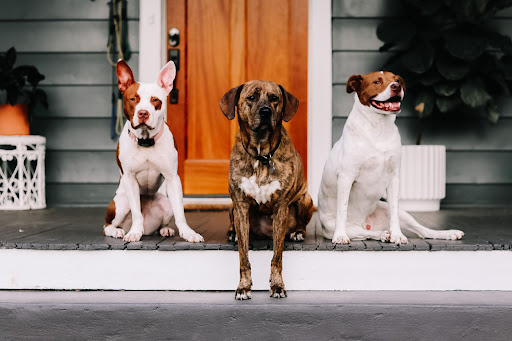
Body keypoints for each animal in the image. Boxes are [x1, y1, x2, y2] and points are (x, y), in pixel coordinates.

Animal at [104, 59, 204, 243]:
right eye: (133, 99)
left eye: (155, 100)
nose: (143, 113)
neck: (145, 141)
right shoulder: (129, 179)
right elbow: (137, 212)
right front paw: (135, 232)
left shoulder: (172, 178)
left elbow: (180, 212)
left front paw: (188, 233)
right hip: (121, 203)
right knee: (108, 225)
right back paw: (117, 231)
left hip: (165, 203)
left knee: (163, 221)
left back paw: (165, 230)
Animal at [219, 79, 314, 298]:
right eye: (251, 97)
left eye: (274, 98)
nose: (265, 112)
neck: (261, 154)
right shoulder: (240, 205)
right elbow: (244, 257)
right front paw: (243, 286)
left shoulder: (281, 208)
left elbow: (277, 256)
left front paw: (277, 285)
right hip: (231, 206)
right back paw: (232, 233)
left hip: (305, 199)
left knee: (301, 222)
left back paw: (298, 232)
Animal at [318, 70, 462, 243]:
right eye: (377, 82)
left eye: (397, 80)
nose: (396, 86)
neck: (378, 127)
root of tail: (366, 223)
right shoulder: (346, 176)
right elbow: (342, 210)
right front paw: (340, 236)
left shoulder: (394, 177)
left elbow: (394, 212)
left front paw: (397, 235)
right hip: (339, 227)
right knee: (364, 233)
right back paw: (381, 234)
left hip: (399, 212)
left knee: (422, 231)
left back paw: (446, 233)